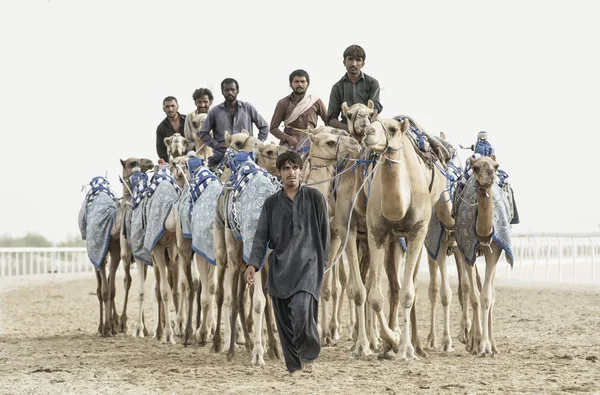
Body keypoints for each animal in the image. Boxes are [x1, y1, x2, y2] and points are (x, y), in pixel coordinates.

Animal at [358, 116, 458, 360]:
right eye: (372, 121)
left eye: (393, 129)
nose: (368, 132)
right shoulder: (377, 232)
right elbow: (375, 296)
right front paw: (391, 340)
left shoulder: (417, 230)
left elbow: (408, 293)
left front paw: (405, 350)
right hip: (395, 238)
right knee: (395, 285)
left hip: (437, 214)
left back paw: (430, 344)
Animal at [454, 155, 516, 358]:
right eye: (475, 167)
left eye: (496, 166)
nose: (489, 175)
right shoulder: (466, 249)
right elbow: (474, 296)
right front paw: (476, 343)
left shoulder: (494, 250)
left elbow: (487, 297)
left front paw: (486, 346)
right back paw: (471, 341)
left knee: (491, 292)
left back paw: (494, 345)